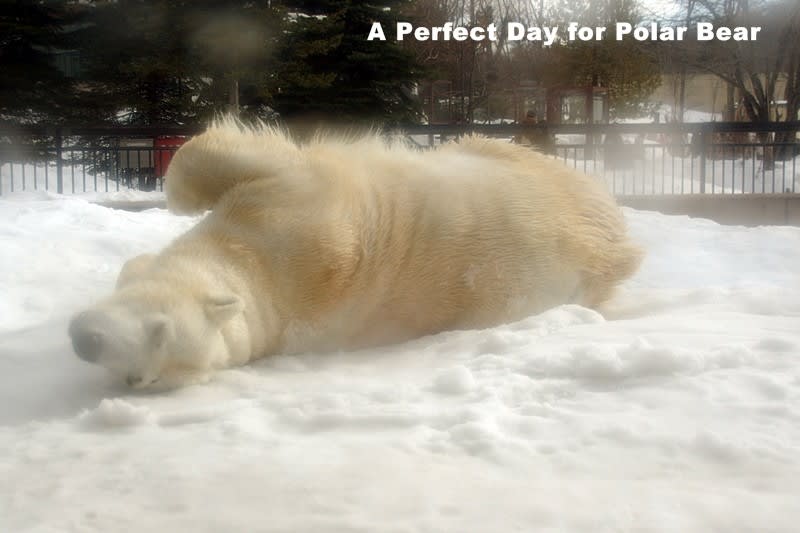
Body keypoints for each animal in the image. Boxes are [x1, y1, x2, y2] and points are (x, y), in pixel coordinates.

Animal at [69, 119, 644, 386]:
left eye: (160, 333)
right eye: (136, 379)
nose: (84, 341)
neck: (266, 278)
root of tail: (617, 246)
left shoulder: (296, 214)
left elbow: (213, 163)